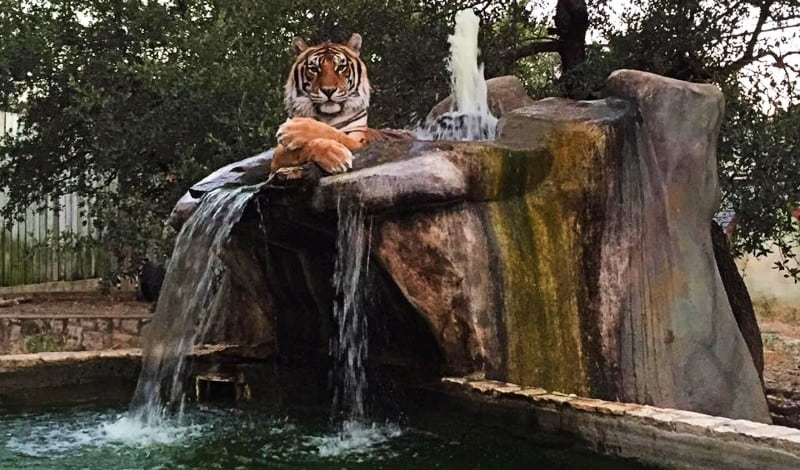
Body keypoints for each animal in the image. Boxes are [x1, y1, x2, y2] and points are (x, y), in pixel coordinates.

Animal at [272, 34, 410, 174]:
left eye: (340, 67)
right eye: (314, 69)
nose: (328, 90)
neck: (328, 116)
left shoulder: (359, 140)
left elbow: (335, 133)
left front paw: (293, 129)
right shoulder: (278, 155)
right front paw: (334, 155)